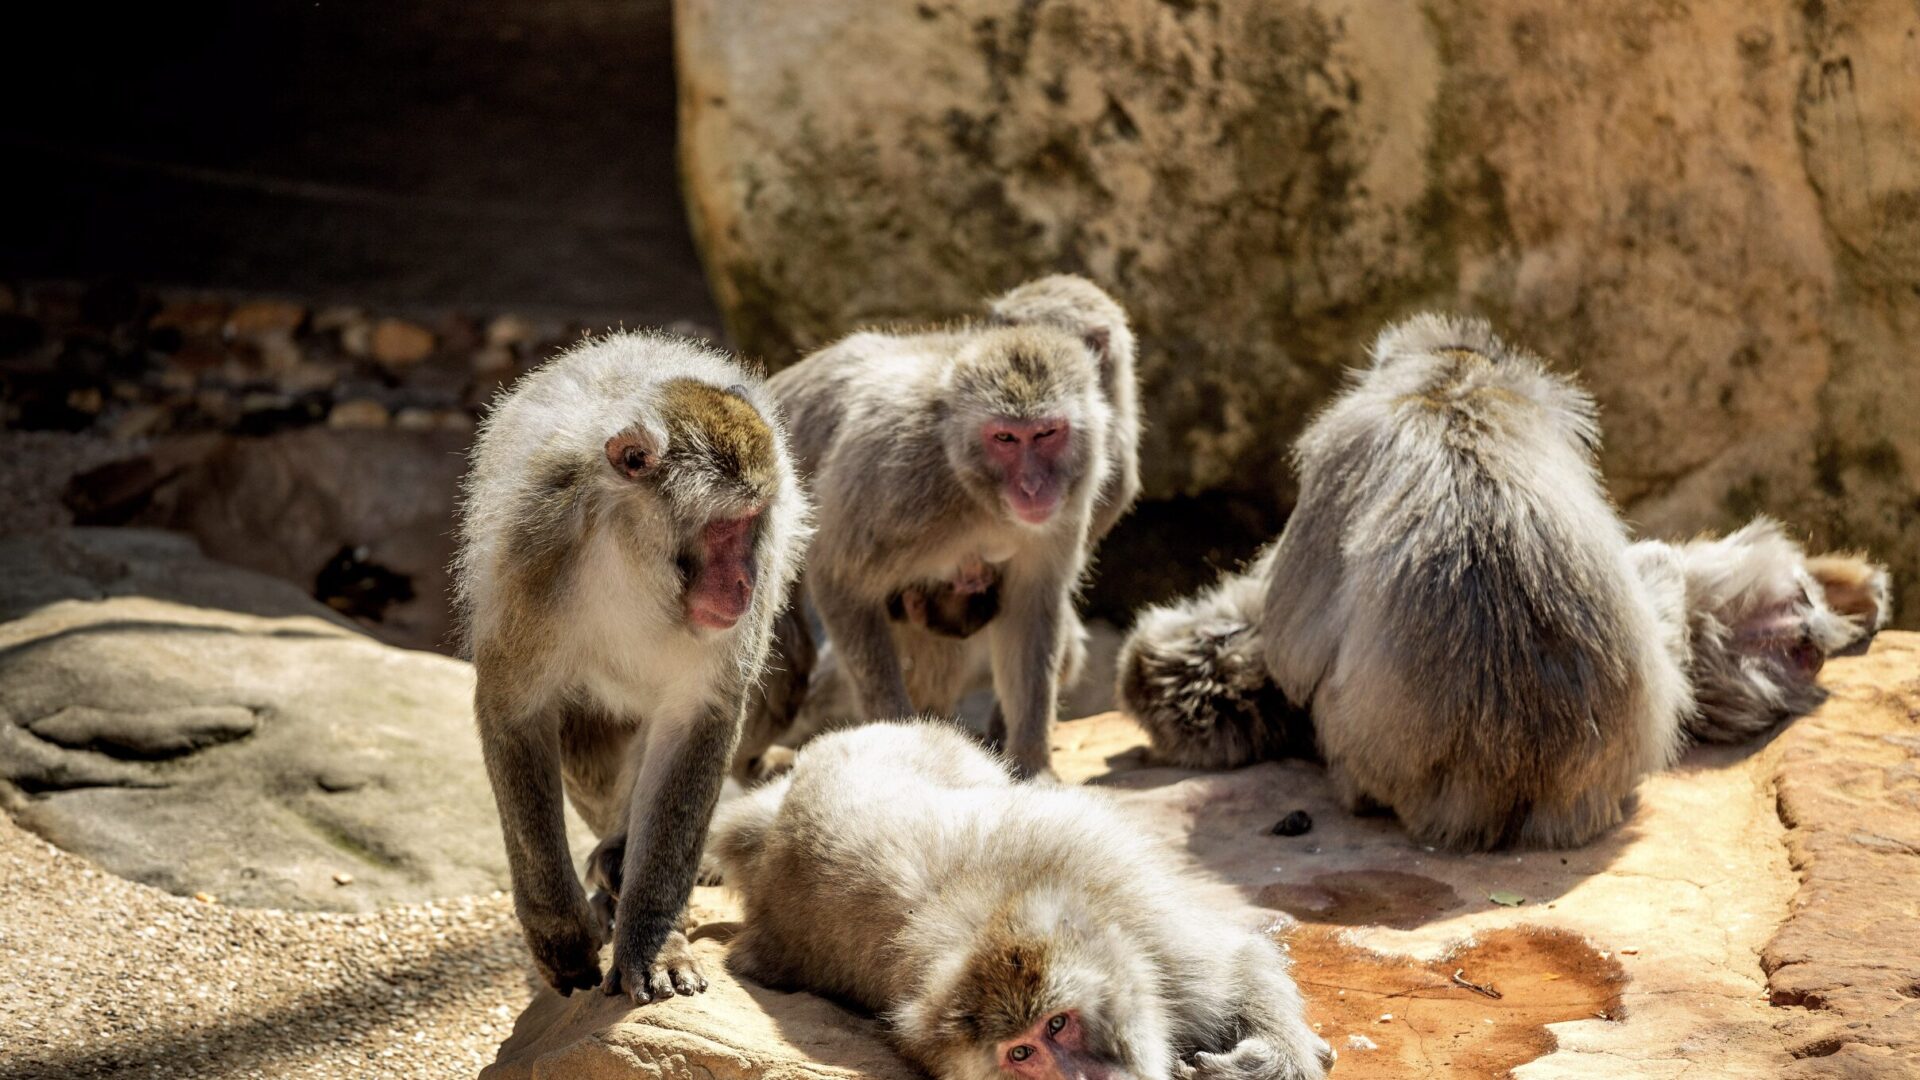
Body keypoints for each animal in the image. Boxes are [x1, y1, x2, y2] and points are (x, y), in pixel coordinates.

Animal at [452, 331, 807, 1001]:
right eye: (726, 526)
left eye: (755, 523)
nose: (746, 582)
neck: (630, 557)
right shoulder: (533, 556)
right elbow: (514, 709)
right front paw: (559, 934)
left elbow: (698, 721)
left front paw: (654, 936)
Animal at [708, 721, 1334, 1080]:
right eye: (1020, 1055)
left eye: (1058, 1025)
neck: (993, 918)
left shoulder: (1141, 922)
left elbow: (1238, 963)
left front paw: (1276, 1059)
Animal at [763, 277, 1138, 778]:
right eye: (1004, 438)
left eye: (1046, 434)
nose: (1033, 488)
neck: (977, 494)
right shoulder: (894, 484)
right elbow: (840, 577)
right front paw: (895, 740)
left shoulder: (1074, 499)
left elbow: (1031, 606)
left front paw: (1031, 762)